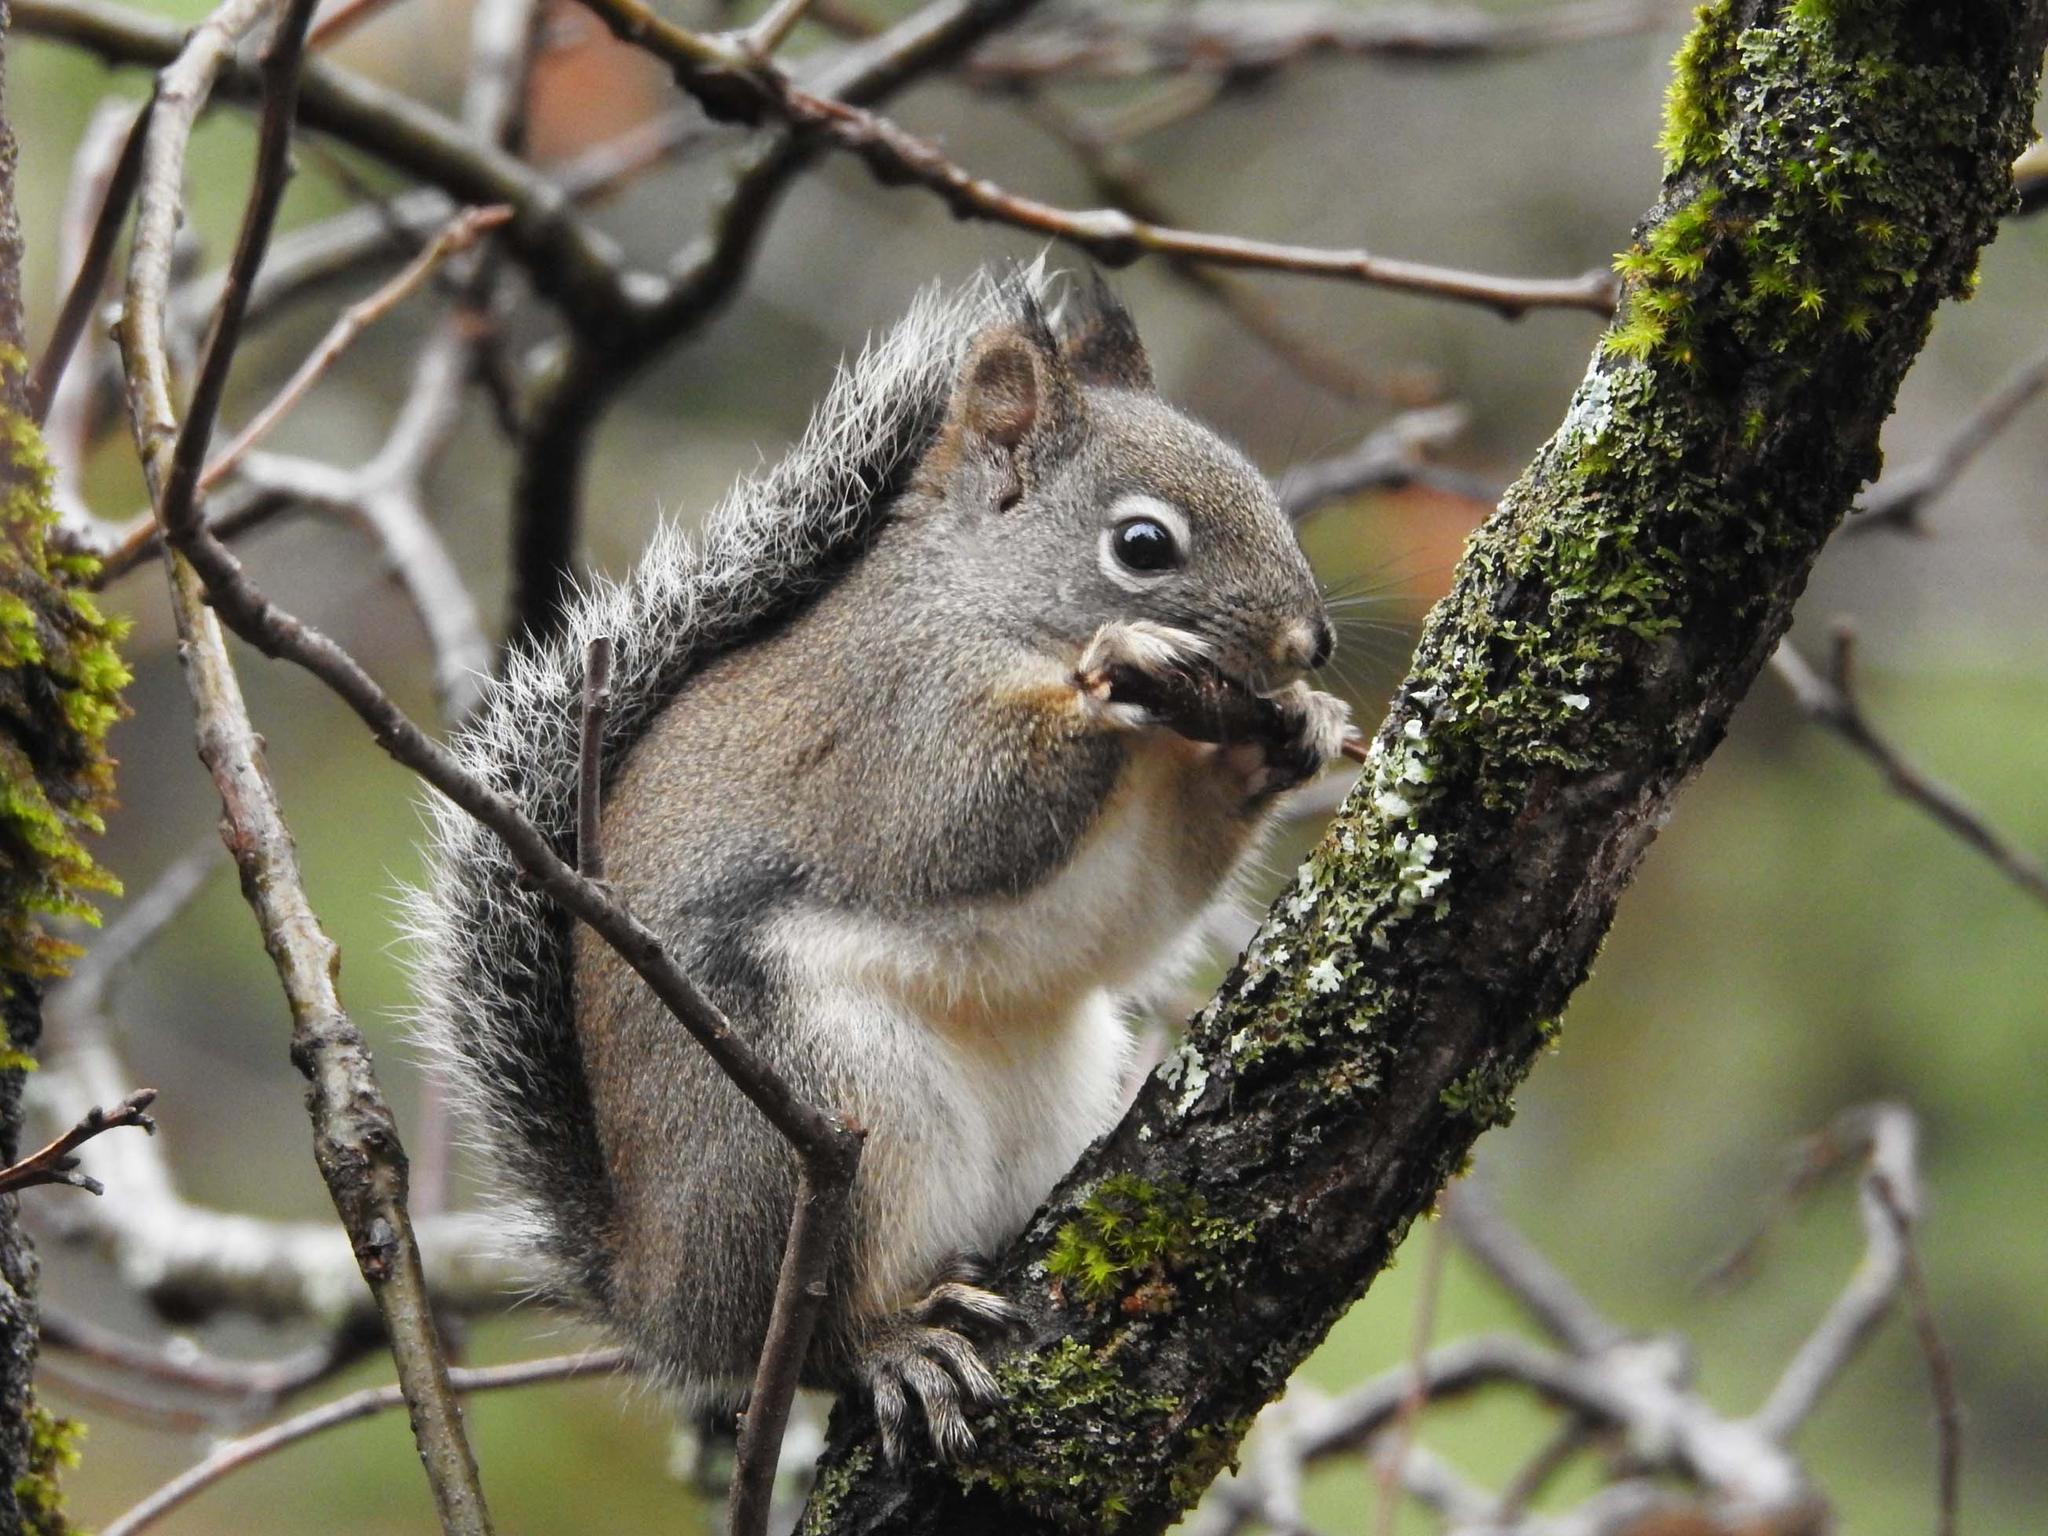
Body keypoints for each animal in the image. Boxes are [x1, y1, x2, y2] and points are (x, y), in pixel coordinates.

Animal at [409, 269, 1349, 1463]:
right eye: (1143, 545)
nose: (1308, 644)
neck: (989, 608)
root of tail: (659, 1299)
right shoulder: (888, 722)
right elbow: (953, 817)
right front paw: (1125, 669)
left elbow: (1142, 910)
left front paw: (1297, 729)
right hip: (821, 1112)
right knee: (815, 1338)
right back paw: (894, 1347)